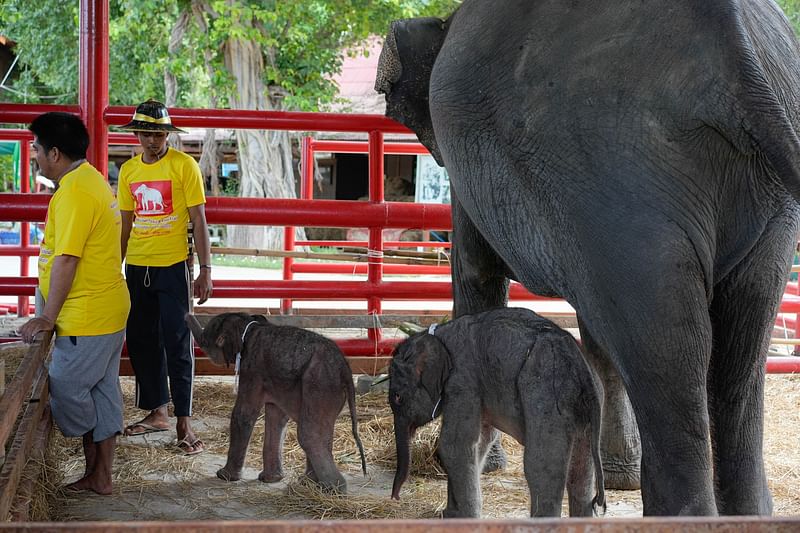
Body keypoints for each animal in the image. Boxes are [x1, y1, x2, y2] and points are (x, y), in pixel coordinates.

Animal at [186, 312, 364, 490]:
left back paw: (331, 489)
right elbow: (276, 417)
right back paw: (308, 483)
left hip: (320, 383)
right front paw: (271, 479)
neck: (251, 325)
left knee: (309, 434)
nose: (187, 314)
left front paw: (224, 476)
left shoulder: (251, 370)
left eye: (204, 341)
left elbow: (244, 414)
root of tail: (345, 369)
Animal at [390, 306, 608, 516]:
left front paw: (462, 517)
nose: (395, 497)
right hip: (583, 410)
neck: (437, 334)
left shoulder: (462, 383)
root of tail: (582, 369)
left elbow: (454, 445)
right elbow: (482, 441)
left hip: (546, 399)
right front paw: (450, 515)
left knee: (541, 468)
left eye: (398, 398)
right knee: (581, 476)